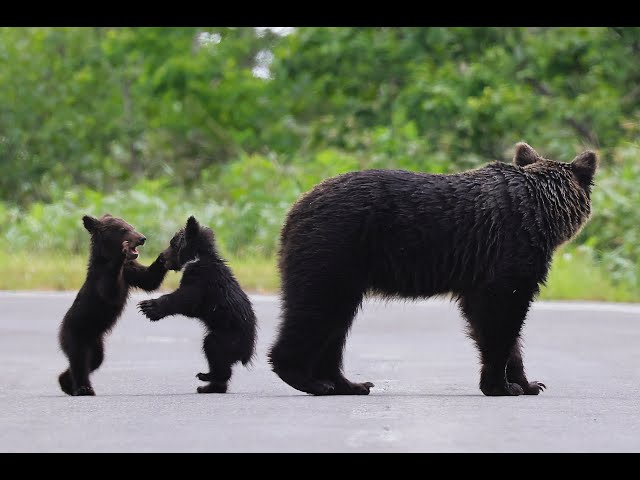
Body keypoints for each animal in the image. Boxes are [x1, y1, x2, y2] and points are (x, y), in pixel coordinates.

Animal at [58, 214, 168, 396]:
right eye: (123, 229)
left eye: (132, 226)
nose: (142, 238)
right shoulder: (102, 278)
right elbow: (111, 293)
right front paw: (122, 253)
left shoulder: (130, 272)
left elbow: (149, 280)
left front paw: (166, 254)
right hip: (75, 333)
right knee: (79, 360)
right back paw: (83, 388)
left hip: (96, 342)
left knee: (94, 361)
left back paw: (66, 382)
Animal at [137, 216, 257, 394]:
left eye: (172, 243)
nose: (162, 257)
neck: (196, 257)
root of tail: (248, 352)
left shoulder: (200, 280)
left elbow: (185, 299)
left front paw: (150, 307)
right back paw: (208, 387)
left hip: (226, 337)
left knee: (214, 351)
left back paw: (207, 376)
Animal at [268, 142, 598, 397]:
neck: (540, 213)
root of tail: (294, 208)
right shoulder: (509, 253)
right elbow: (500, 316)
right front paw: (502, 385)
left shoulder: (480, 272)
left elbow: (489, 318)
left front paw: (529, 384)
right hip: (335, 247)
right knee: (317, 309)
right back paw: (307, 379)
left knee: (336, 321)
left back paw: (349, 384)